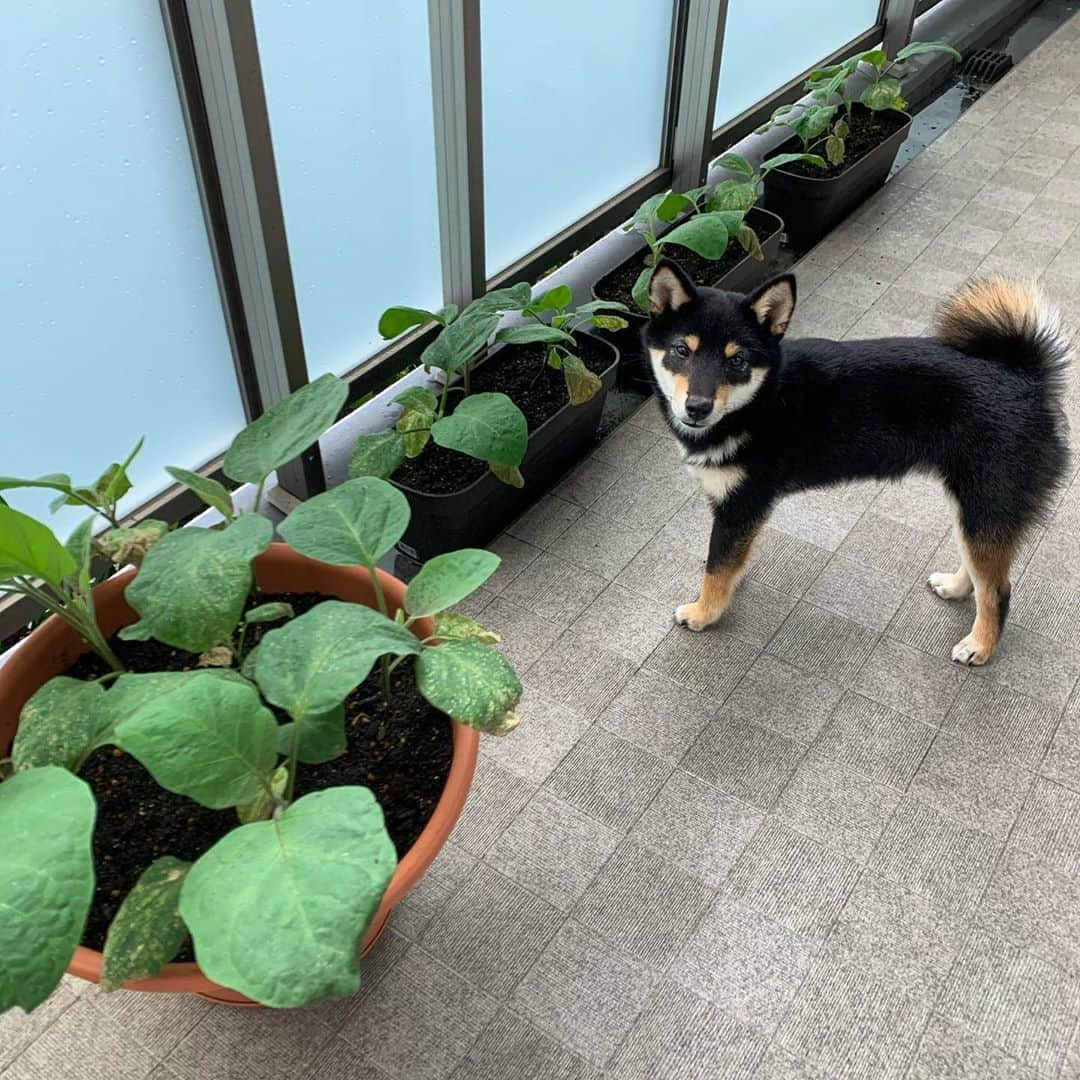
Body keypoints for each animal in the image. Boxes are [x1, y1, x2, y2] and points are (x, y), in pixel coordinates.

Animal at [643, 261, 1067, 665]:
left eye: (738, 361)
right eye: (682, 351)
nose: (697, 407)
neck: (761, 402)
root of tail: (1025, 378)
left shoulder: (741, 506)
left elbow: (716, 567)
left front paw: (703, 612)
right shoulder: (740, 511)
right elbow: (728, 561)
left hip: (987, 501)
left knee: (998, 588)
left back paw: (980, 644)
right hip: (971, 504)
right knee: (980, 567)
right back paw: (957, 586)